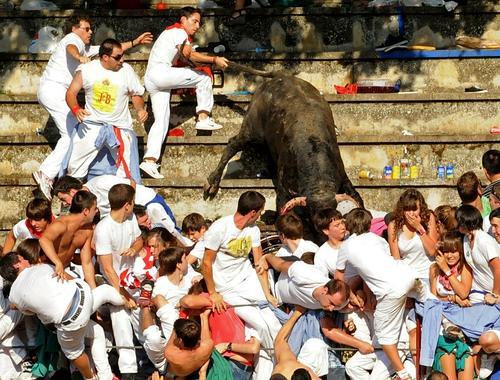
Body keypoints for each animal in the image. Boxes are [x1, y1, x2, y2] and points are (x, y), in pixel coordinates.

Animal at [203, 71, 364, 236]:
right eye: (312, 217)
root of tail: (280, 76)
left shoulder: (343, 177)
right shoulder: (284, 190)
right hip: (252, 130)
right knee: (233, 144)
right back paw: (213, 182)